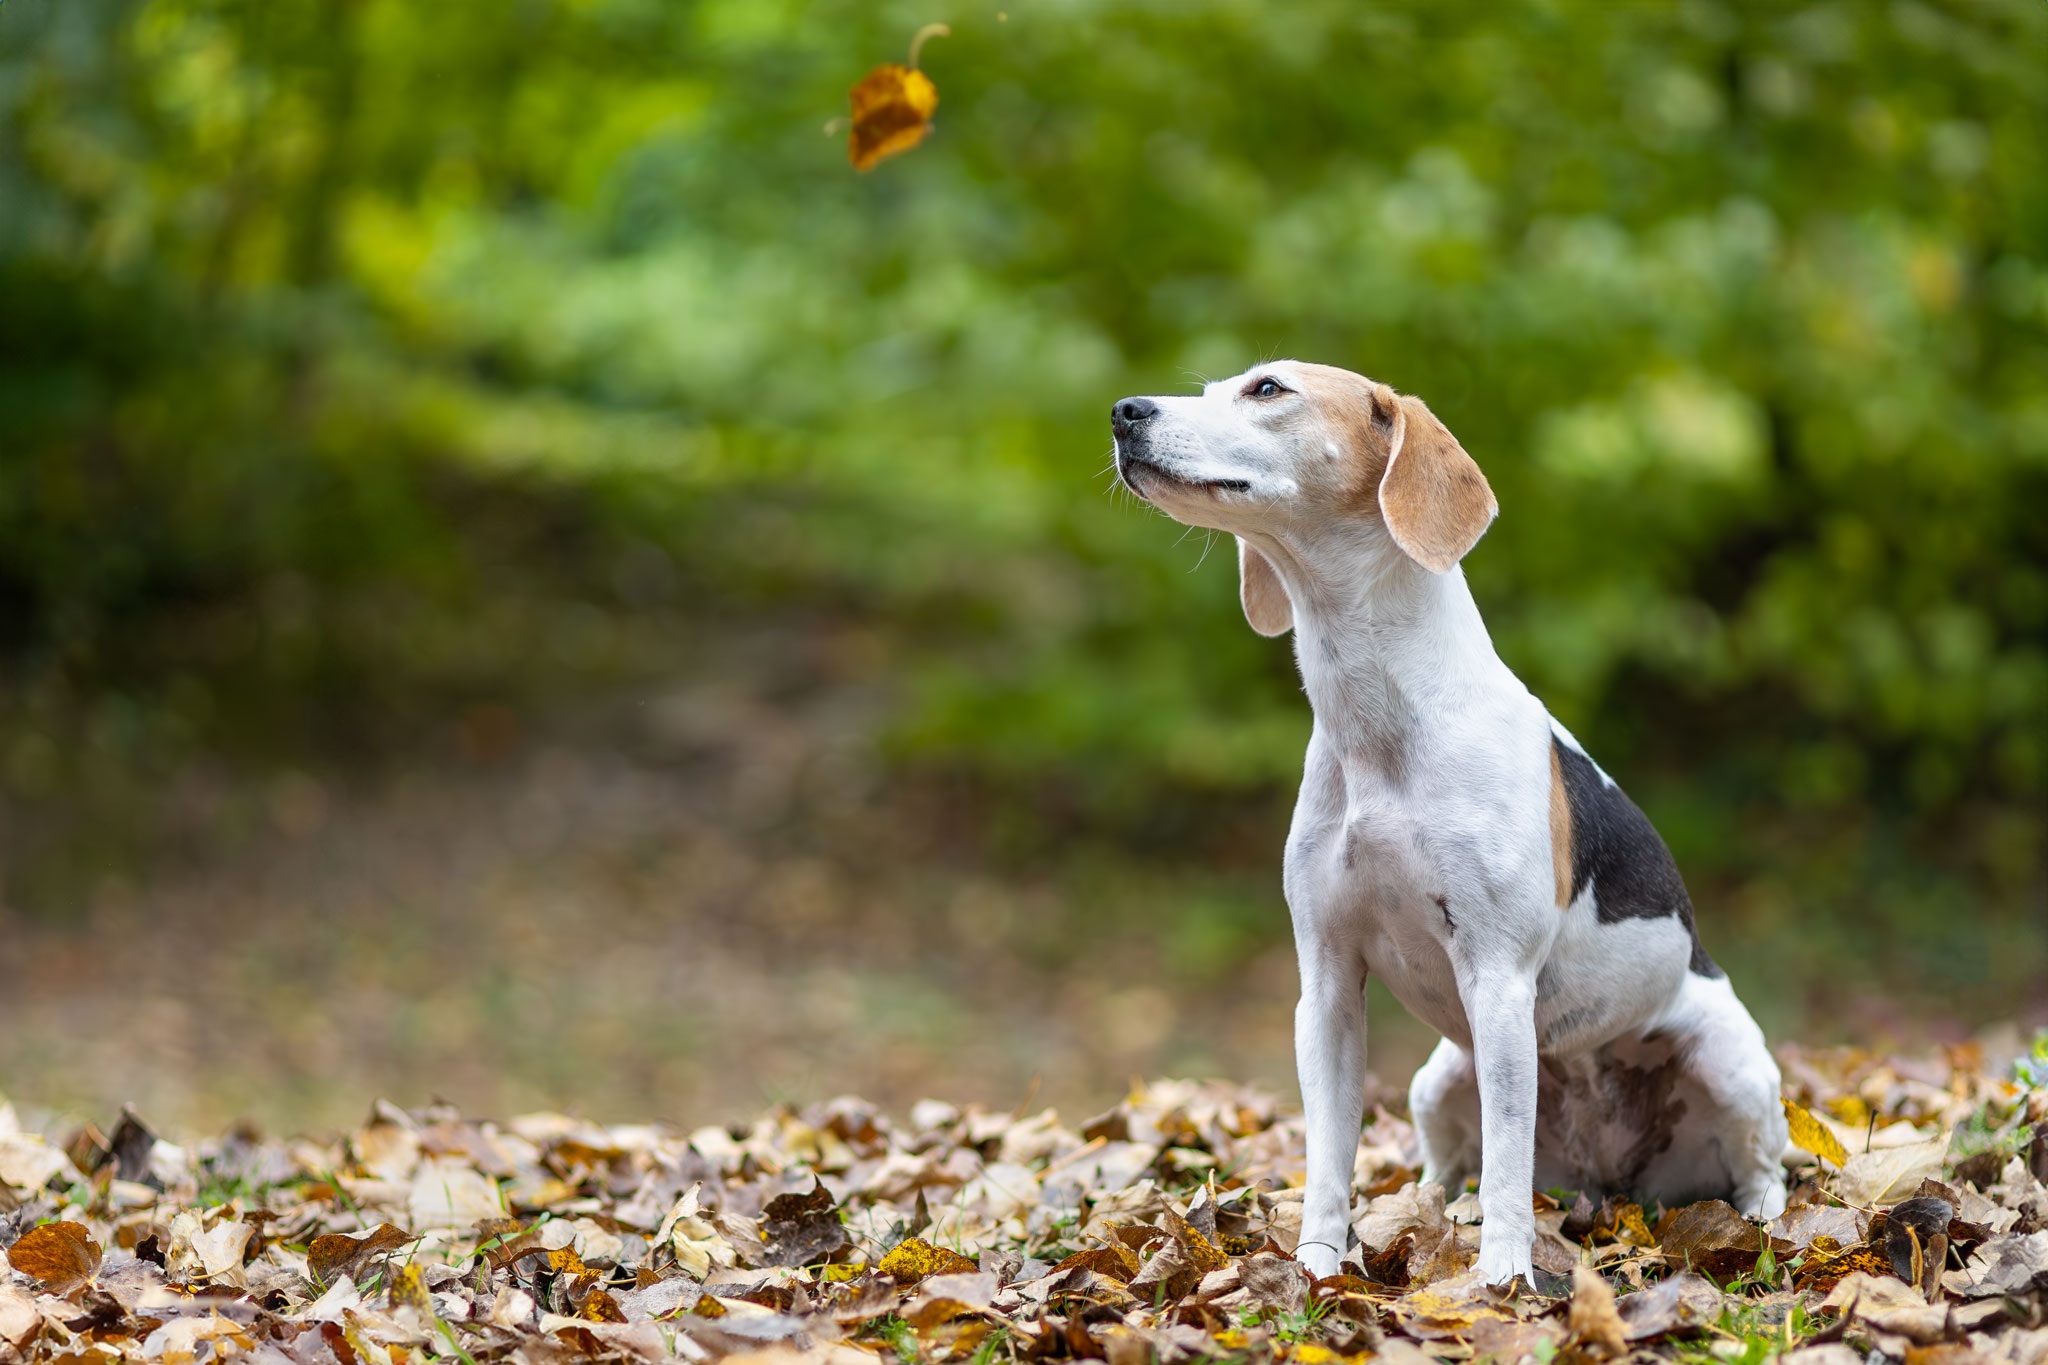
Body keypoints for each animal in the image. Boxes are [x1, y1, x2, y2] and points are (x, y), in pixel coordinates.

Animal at [1105, 360, 1794, 1285]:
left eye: (1268, 389)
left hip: (1728, 1065)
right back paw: (1438, 1208)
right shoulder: (1326, 984)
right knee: (1455, 1165)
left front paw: (1501, 1280)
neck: (1381, 722)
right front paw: (1318, 1268)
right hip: (1438, 1079)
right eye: (1214, 385)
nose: (1123, 411)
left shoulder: (1498, 979)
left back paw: (1761, 1225)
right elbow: (1331, 1154)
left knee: (1755, 1167)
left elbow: (1507, 1159)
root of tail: (1608, 1183)